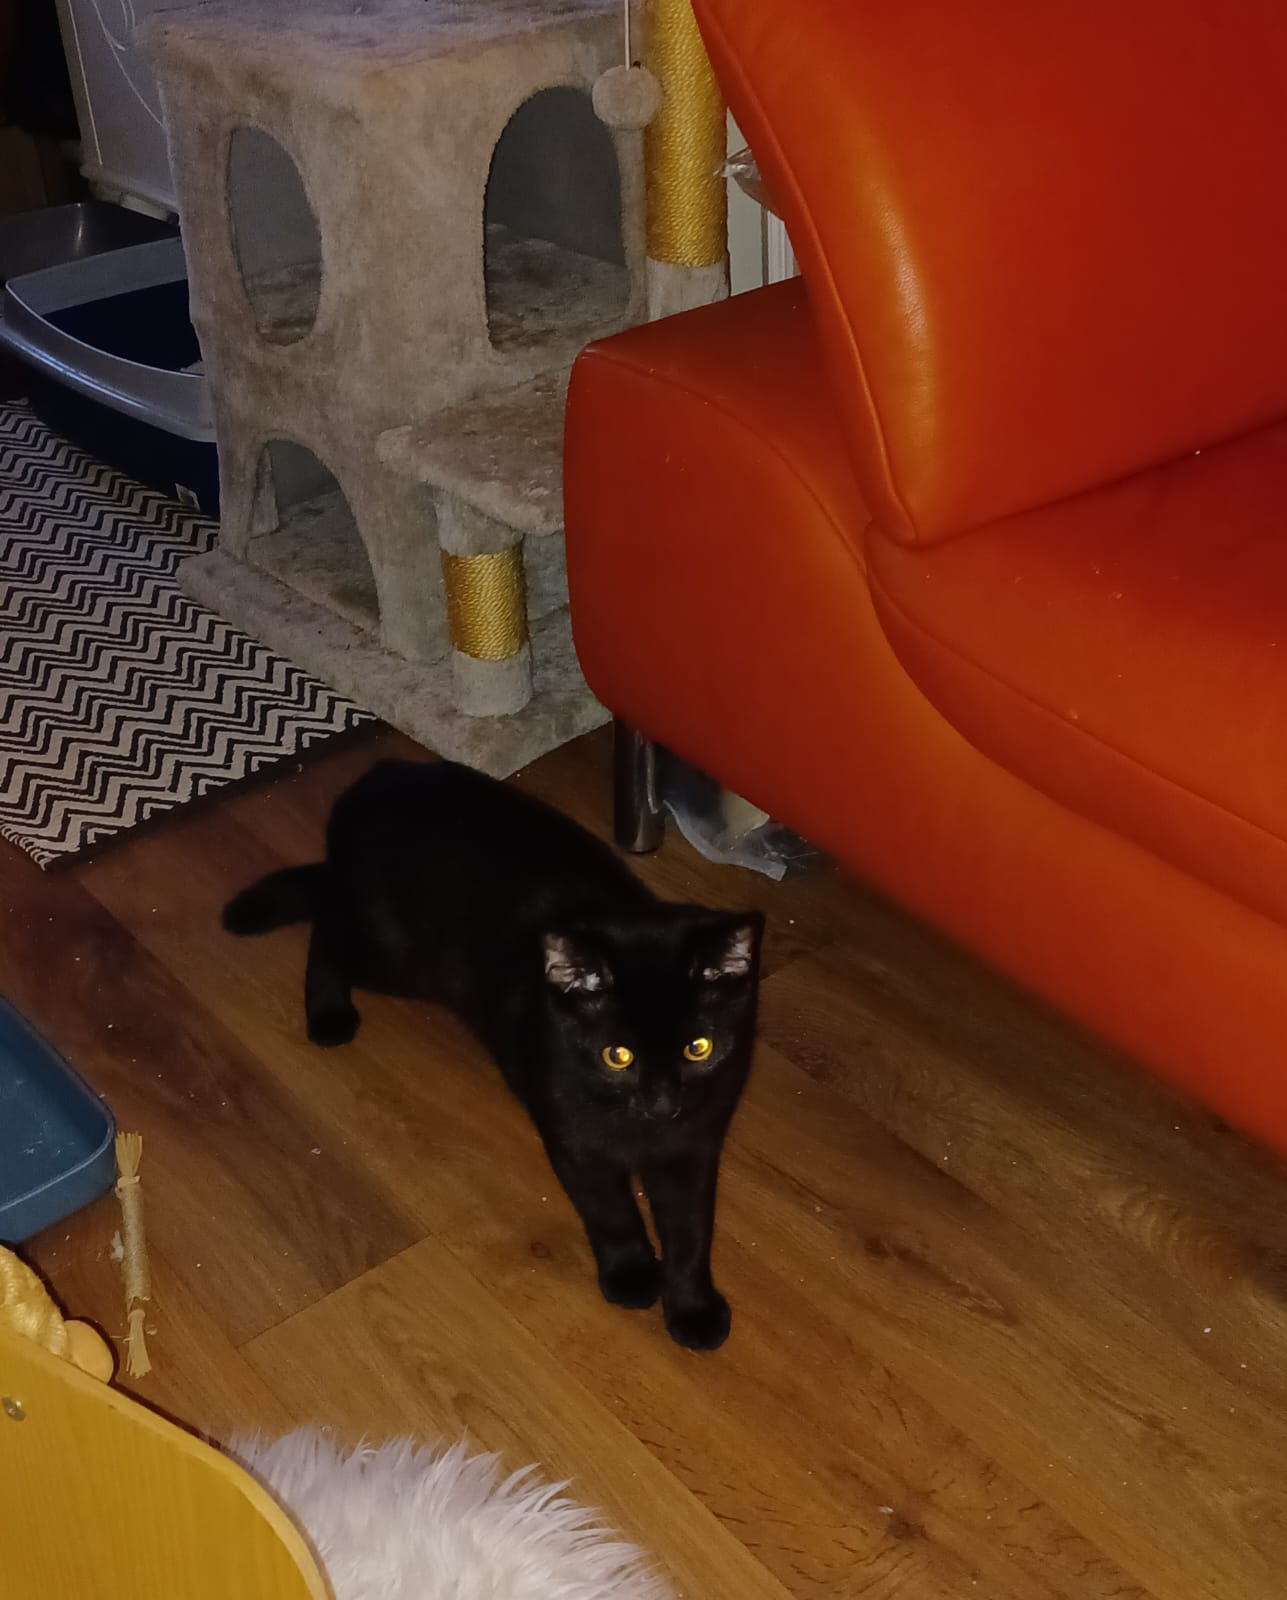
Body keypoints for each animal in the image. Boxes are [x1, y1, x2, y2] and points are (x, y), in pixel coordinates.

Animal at [223, 758, 764, 1351]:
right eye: (617, 1055)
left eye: (699, 1048)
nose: (663, 1103)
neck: (637, 1130)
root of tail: (377, 777)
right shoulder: (576, 1143)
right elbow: (612, 1211)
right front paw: (631, 1275)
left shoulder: (692, 1149)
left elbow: (690, 1233)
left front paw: (692, 1310)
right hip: (398, 956)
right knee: (327, 931)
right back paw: (328, 1015)